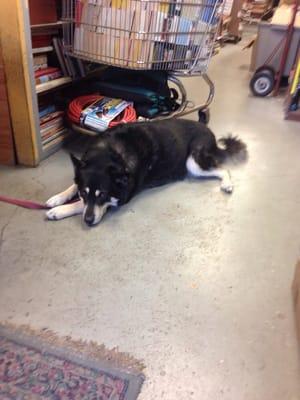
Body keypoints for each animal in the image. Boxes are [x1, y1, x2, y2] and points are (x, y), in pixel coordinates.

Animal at [45, 118, 246, 225]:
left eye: (103, 195)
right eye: (84, 192)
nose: (88, 221)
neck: (109, 152)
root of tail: (206, 126)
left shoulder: (121, 198)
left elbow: (80, 205)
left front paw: (59, 210)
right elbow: (73, 186)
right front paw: (57, 198)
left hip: (193, 162)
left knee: (223, 169)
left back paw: (227, 184)